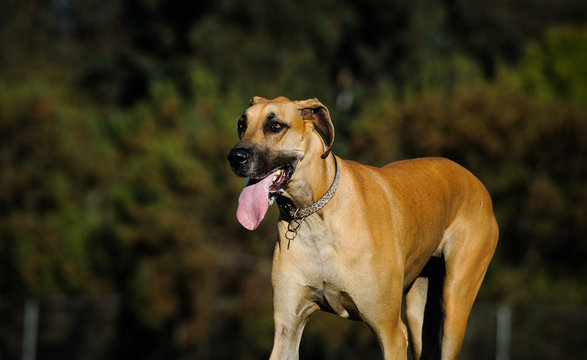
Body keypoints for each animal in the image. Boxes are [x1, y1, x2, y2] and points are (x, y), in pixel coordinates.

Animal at [227, 96, 498, 360]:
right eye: (241, 125)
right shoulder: (287, 328)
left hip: (454, 303)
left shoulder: (390, 332)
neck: (313, 216)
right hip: (418, 312)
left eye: (275, 126)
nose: (235, 157)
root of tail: (476, 182)